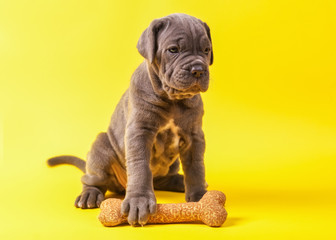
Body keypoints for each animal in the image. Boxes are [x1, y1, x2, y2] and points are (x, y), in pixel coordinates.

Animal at [48, 13, 213, 227]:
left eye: (206, 50)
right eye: (173, 50)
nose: (198, 69)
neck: (172, 99)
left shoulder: (194, 136)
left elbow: (196, 166)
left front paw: (200, 196)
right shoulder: (139, 132)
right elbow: (140, 167)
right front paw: (139, 201)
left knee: (161, 179)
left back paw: (178, 181)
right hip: (101, 146)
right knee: (93, 180)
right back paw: (90, 195)